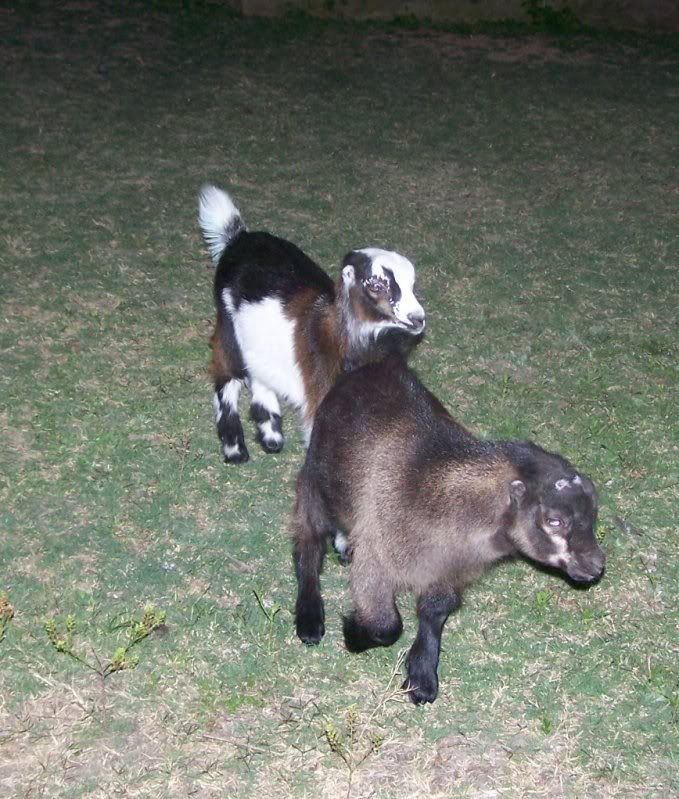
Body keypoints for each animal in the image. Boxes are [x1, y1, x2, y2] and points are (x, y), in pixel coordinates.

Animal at [198, 185, 425, 464]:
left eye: (412, 284)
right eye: (375, 284)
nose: (417, 318)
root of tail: (238, 237)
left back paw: (271, 435)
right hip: (228, 328)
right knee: (226, 376)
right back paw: (235, 449)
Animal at [292, 354, 605, 705]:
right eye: (554, 521)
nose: (596, 566)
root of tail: (372, 364)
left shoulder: (450, 571)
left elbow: (434, 612)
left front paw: (422, 676)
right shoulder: (377, 559)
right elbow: (387, 626)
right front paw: (353, 634)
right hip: (316, 480)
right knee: (307, 543)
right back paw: (309, 619)